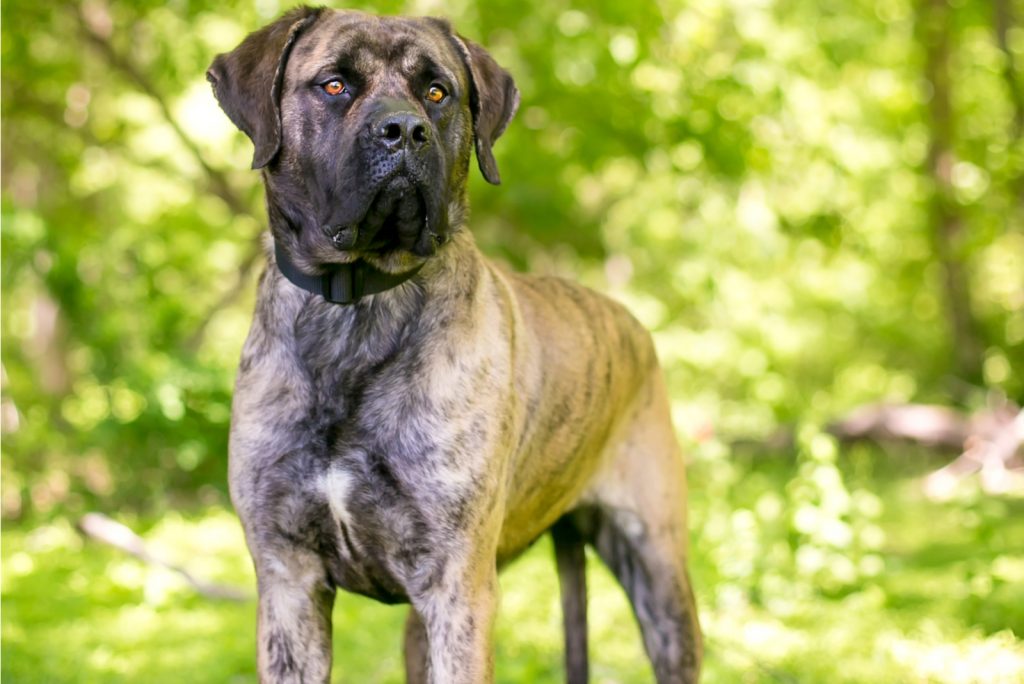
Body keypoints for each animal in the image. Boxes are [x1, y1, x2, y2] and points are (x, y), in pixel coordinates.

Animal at [207, 6, 704, 684]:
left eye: (438, 92)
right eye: (334, 84)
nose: (404, 129)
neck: (356, 309)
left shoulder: (457, 588)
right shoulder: (289, 581)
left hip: (659, 576)